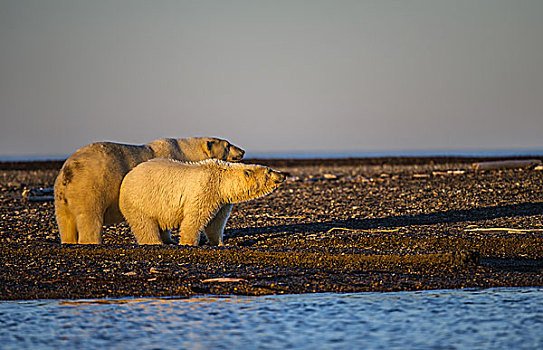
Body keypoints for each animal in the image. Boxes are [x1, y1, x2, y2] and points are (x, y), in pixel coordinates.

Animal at [53, 137, 244, 243]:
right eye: (228, 145)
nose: (242, 151)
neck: (188, 152)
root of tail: (69, 171)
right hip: (92, 186)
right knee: (90, 217)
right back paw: (92, 241)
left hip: (61, 197)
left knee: (65, 221)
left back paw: (69, 241)